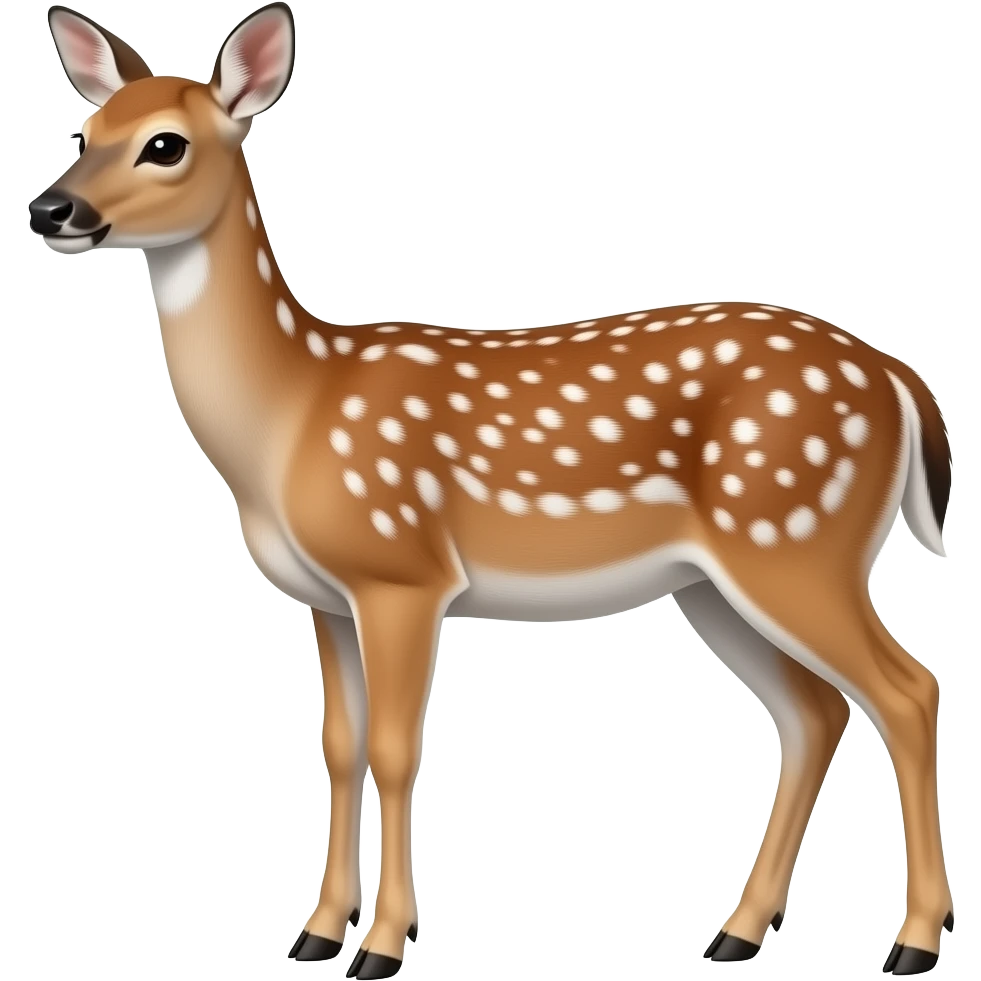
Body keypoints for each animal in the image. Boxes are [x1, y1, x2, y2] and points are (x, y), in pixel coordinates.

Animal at [29, 4, 956, 977]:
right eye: (86, 131)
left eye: (164, 144)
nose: (50, 208)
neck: (292, 414)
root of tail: (898, 377)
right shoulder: (326, 596)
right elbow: (339, 749)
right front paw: (315, 933)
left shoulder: (403, 572)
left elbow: (396, 750)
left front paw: (383, 945)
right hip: (717, 582)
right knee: (813, 712)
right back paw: (735, 932)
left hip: (797, 537)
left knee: (906, 691)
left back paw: (912, 941)